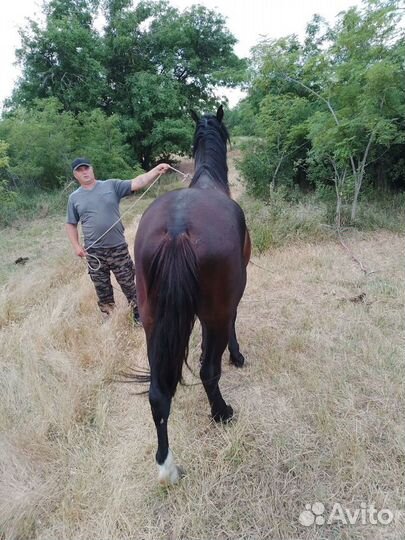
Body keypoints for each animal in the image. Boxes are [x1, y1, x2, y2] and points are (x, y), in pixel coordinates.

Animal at [134, 105, 251, 486]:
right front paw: (237, 356)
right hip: (215, 311)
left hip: (151, 319)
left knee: (158, 394)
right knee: (208, 371)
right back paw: (222, 413)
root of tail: (176, 229)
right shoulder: (230, 300)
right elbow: (232, 325)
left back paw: (166, 465)